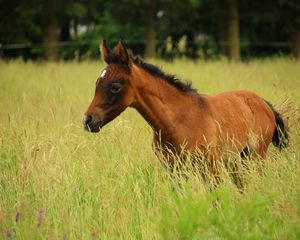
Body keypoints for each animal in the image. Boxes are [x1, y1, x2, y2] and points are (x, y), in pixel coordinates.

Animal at [82, 39, 288, 182]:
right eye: (97, 83)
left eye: (115, 86)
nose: (87, 120)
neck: (177, 122)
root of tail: (264, 103)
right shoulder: (174, 170)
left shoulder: (210, 167)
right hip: (237, 160)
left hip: (256, 156)